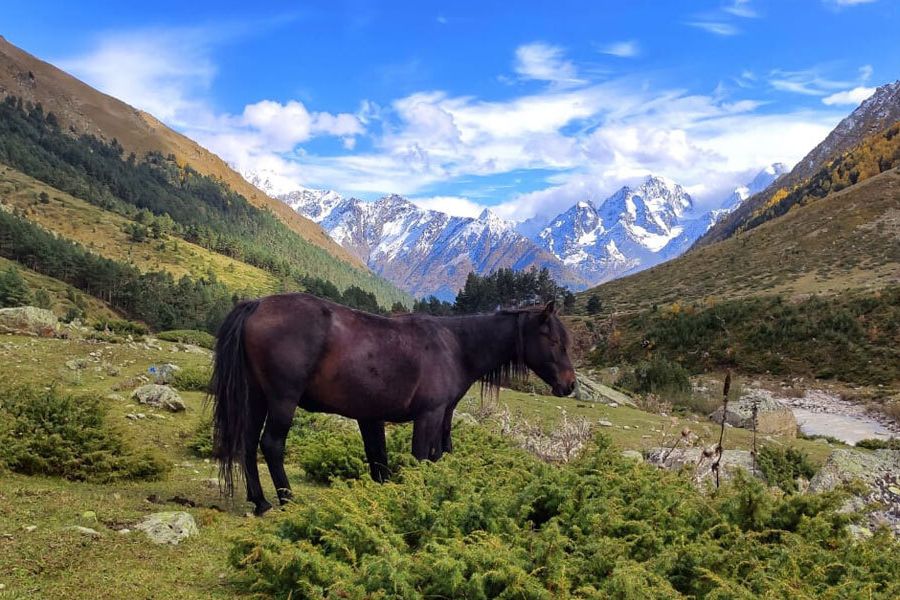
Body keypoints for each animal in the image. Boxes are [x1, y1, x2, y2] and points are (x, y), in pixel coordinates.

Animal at [209, 292, 576, 516]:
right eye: (554, 341)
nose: (569, 385)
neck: (456, 347)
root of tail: (257, 304)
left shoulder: (379, 418)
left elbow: (387, 462)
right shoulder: (428, 416)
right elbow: (421, 459)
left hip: (256, 398)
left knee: (247, 444)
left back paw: (260, 501)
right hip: (283, 401)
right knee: (271, 444)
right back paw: (286, 498)